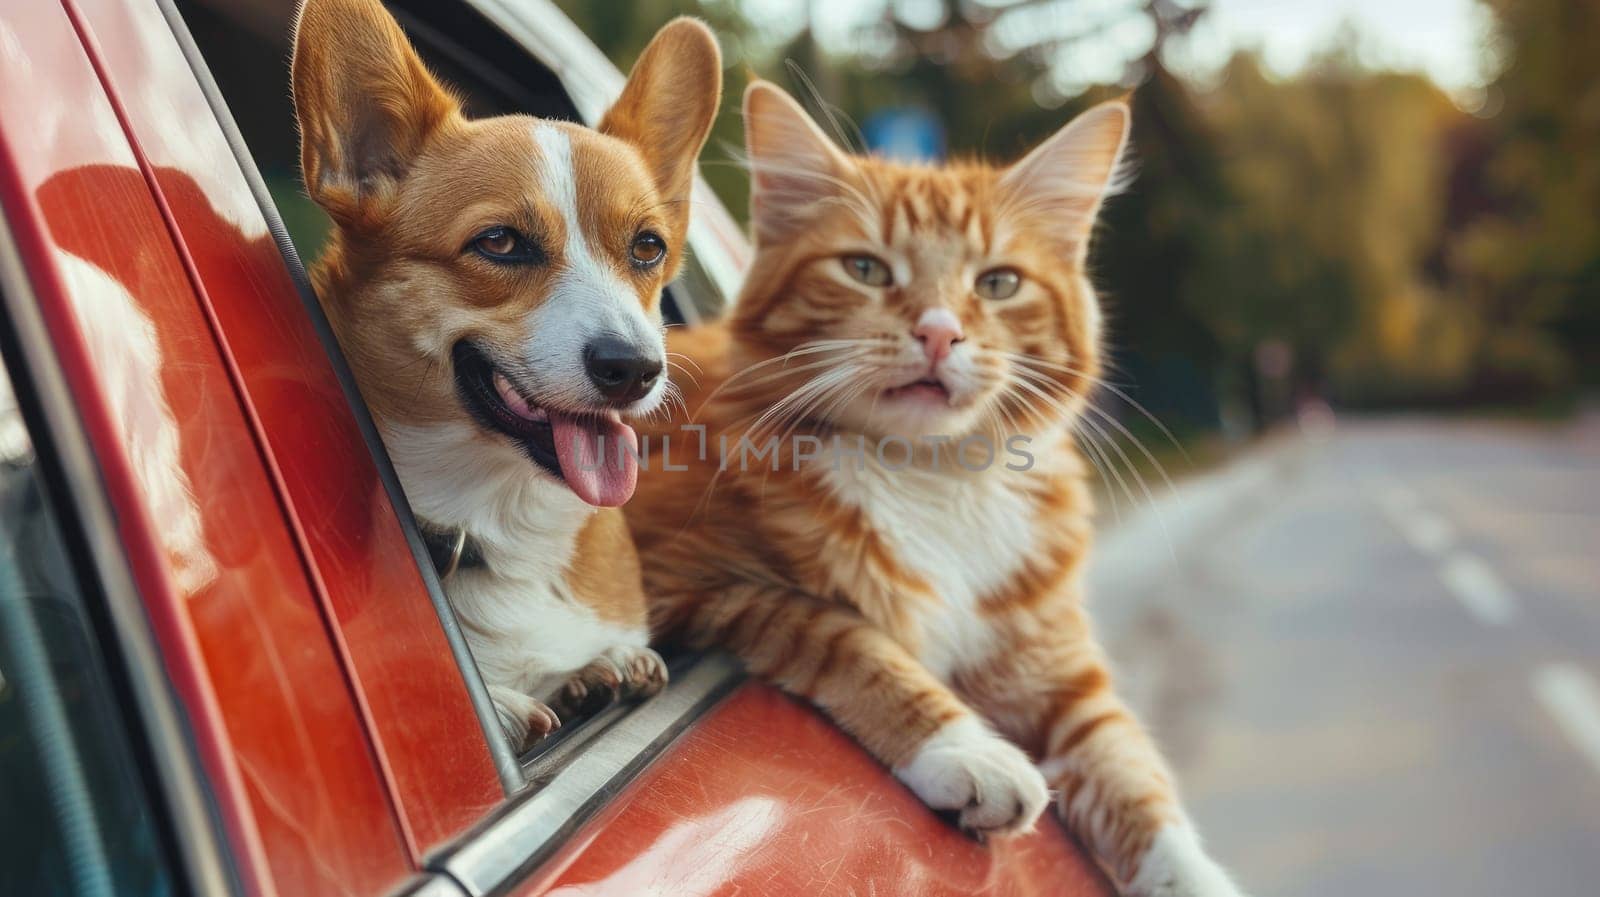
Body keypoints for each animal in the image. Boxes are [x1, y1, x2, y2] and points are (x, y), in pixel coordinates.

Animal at [291, 0, 723, 745]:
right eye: (499, 242)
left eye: (647, 247)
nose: (634, 369)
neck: (501, 512)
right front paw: (509, 703)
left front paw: (602, 665)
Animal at [620, 78, 1235, 895]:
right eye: (866, 269)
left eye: (999, 283)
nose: (940, 332)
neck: (933, 476)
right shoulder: (689, 579)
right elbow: (847, 640)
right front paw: (967, 750)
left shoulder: (1059, 670)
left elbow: (1134, 776)